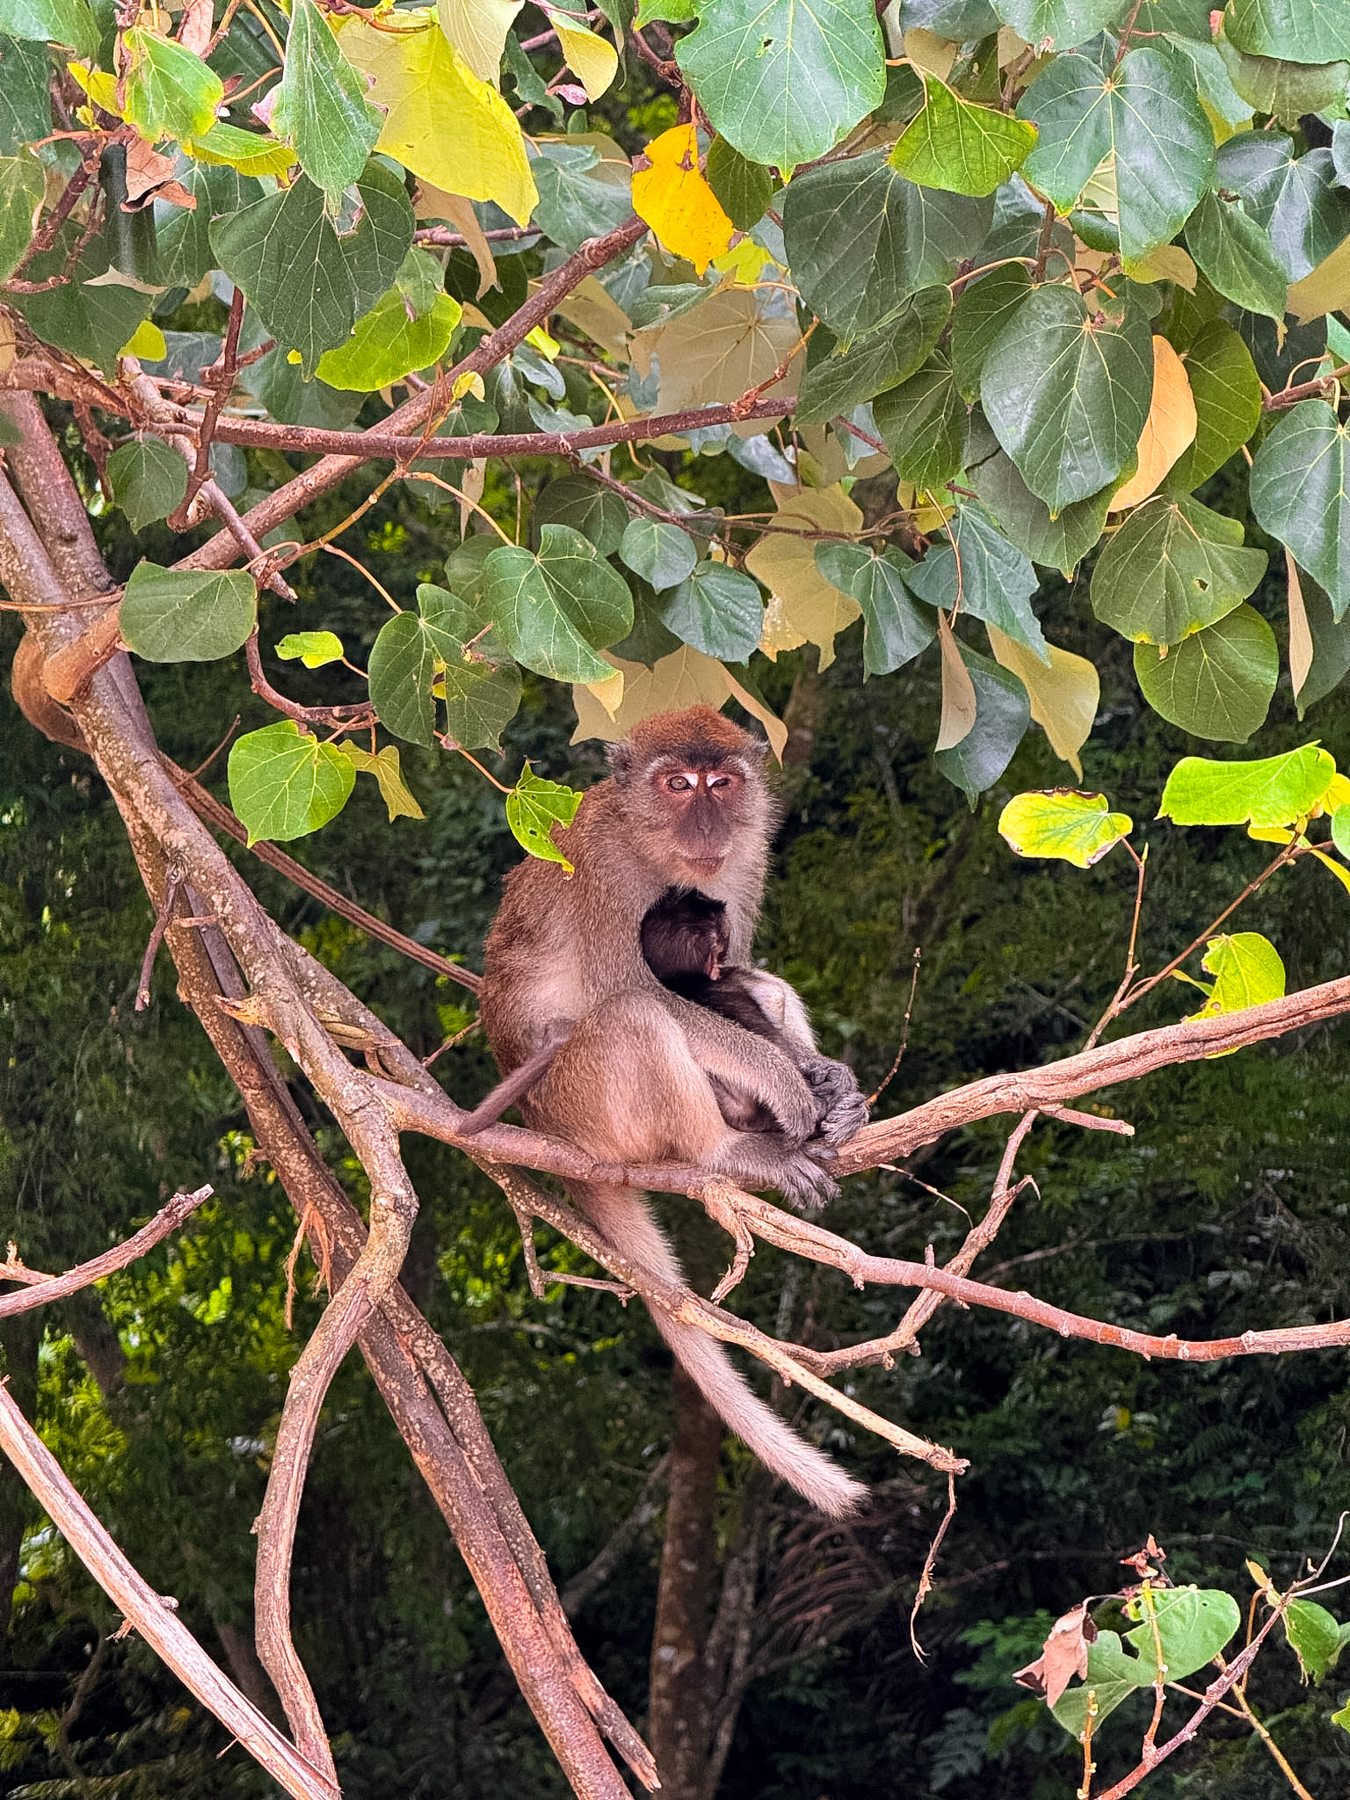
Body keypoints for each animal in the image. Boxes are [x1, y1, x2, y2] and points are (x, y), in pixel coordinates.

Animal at [477, 705, 870, 1518]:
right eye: (678, 784)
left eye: (721, 783)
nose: (707, 821)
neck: (648, 841)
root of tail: (542, 1132)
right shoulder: (601, 876)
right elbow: (645, 992)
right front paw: (785, 1081)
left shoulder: (742, 865)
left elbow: (744, 974)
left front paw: (826, 1082)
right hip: (581, 1104)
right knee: (634, 1016)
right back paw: (732, 1152)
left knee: (760, 985)